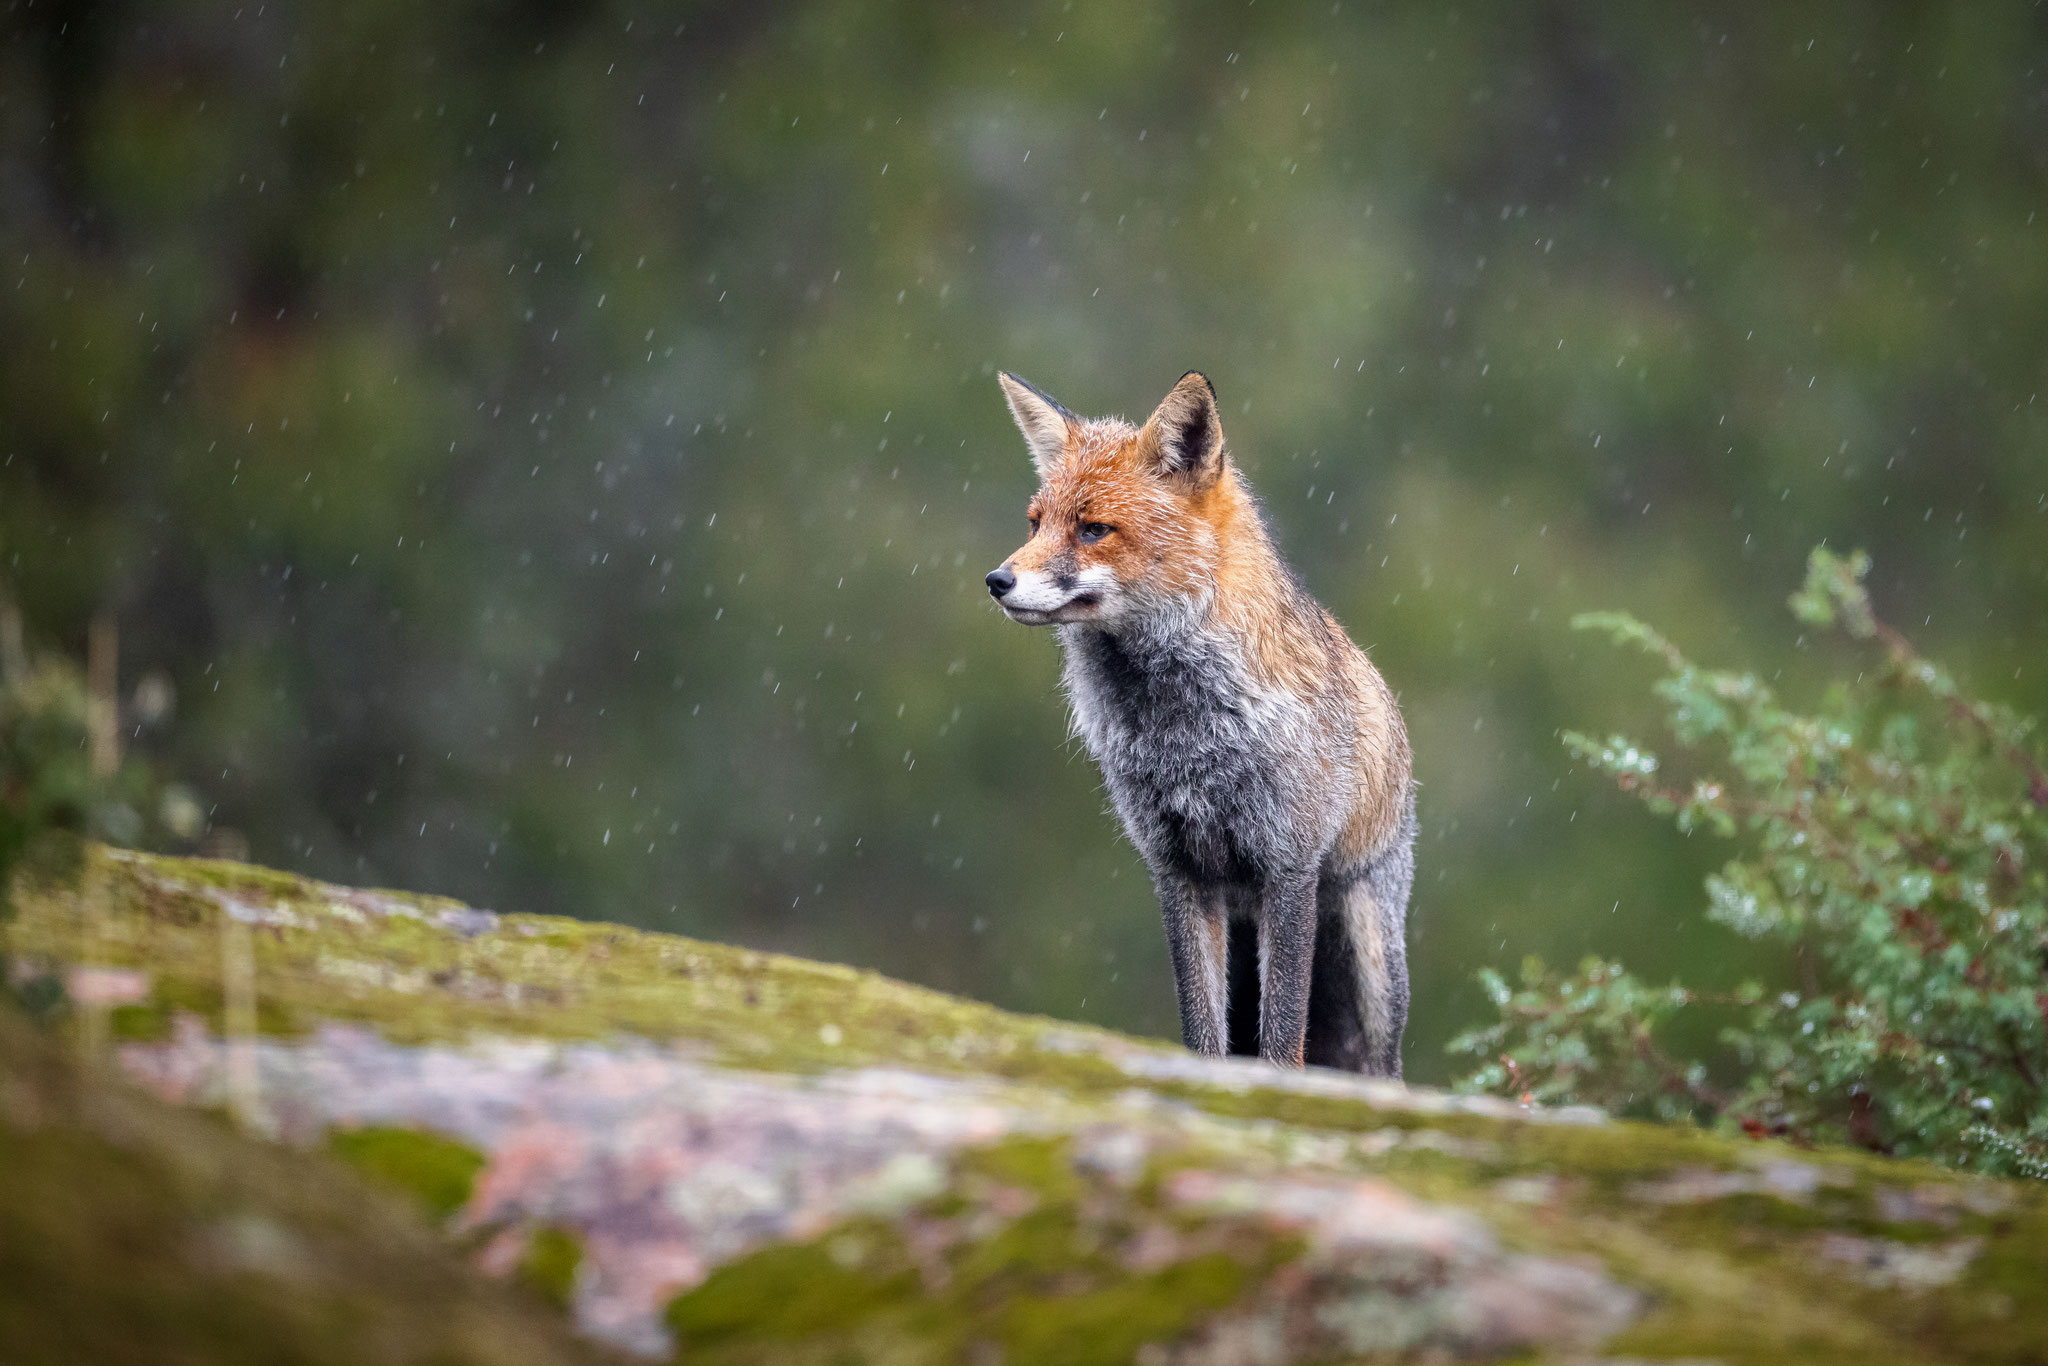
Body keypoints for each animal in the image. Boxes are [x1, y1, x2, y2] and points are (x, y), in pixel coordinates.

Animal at [986, 370, 1416, 1076]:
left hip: (1369, 962)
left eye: (1093, 529)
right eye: (1036, 522)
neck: (1187, 734)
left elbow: (1282, 1042)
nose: (997, 580)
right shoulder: (1180, 869)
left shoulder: (1288, 866)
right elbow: (1202, 1035)